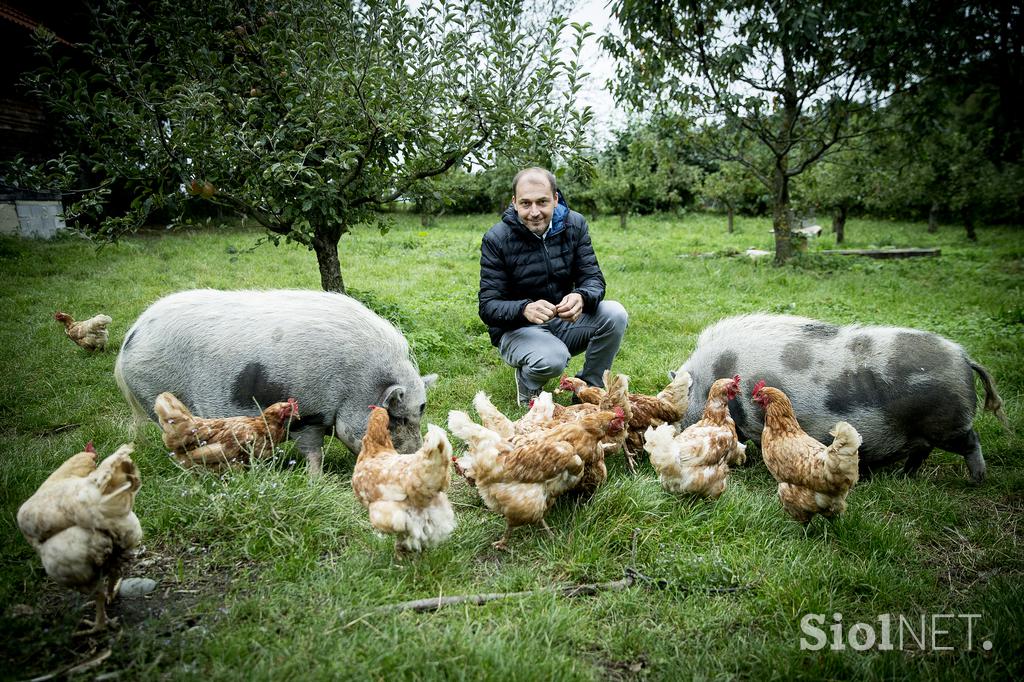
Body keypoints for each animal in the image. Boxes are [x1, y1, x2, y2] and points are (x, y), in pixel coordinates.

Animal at [116, 286, 436, 473]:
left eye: (419, 413)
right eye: (397, 418)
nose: (412, 457)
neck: (355, 385)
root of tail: (133, 334)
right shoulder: (308, 415)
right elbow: (313, 453)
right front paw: (317, 480)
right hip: (153, 392)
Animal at [679, 311, 1007, 477]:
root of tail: (964, 358)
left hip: (948, 424)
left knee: (971, 442)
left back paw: (978, 480)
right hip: (929, 431)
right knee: (921, 452)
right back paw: (905, 476)